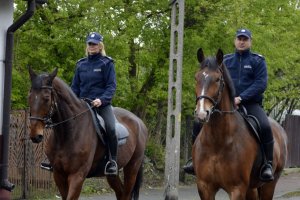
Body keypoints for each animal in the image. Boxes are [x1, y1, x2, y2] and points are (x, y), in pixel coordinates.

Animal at [27, 67, 148, 200]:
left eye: (46, 98)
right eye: (29, 97)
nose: (35, 135)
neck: (68, 133)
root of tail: (139, 122)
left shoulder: (77, 175)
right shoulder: (59, 175)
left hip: (132, 167)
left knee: (126, 193)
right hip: (112, 175)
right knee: (120, 193)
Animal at [192, 48, 288, 200]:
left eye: (217, 79)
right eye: (196, 78)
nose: (201, 113)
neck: (217, 142)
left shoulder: (237, 189)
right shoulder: (204, 187)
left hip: (269, 185)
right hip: (251, 188)